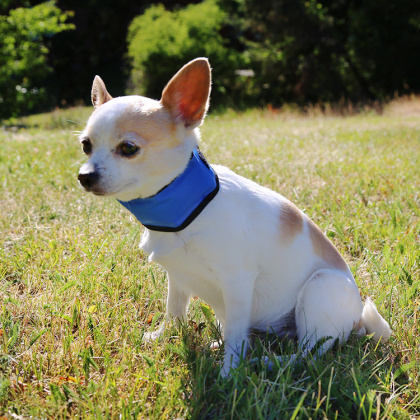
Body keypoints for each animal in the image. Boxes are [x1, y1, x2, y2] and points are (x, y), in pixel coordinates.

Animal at [78, 57, 390, 376]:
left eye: (128, 148)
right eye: (86, 145)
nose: (84, 176)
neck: (185, 207)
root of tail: (359, 320)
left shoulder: (237, 284)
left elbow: (235, 335)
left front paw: (229, 373)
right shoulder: (177, 277)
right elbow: (174, 310)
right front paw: (165, 336)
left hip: (320, 288)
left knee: (309, 354)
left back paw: (269, 362)